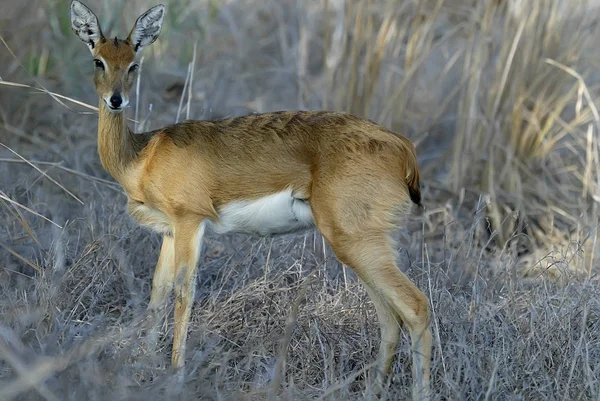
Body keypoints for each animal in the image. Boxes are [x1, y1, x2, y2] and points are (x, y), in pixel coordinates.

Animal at [70, 1, 432, 396]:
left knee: (416, 307)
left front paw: (175, 375)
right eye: (98, 60)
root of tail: (404, 149)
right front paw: (144, 365)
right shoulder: (169, 231)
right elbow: (158, 293)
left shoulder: (190, 221)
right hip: (363, 247)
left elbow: (184, 294)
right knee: (390, 318)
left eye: (134, 63)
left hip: (356, 242)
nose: (116, 100)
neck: (142, 155)